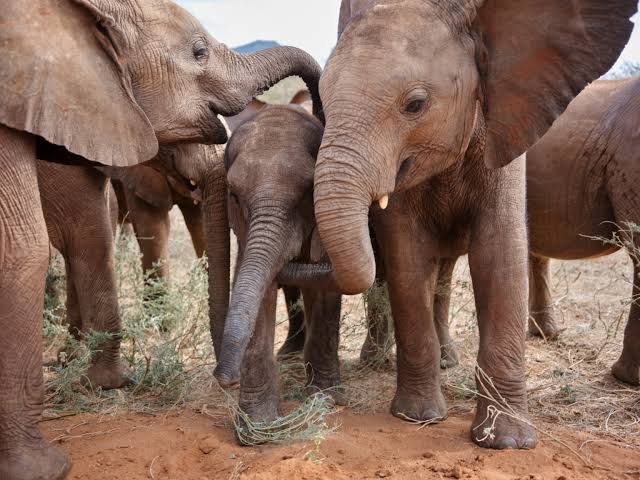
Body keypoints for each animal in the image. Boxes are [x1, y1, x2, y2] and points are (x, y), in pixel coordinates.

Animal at [282, 0, 635, 451]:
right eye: (322, 103)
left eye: (415, 104)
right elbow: (406, 257)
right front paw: (418, 418)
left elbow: (499, 254)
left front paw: (506, 442)